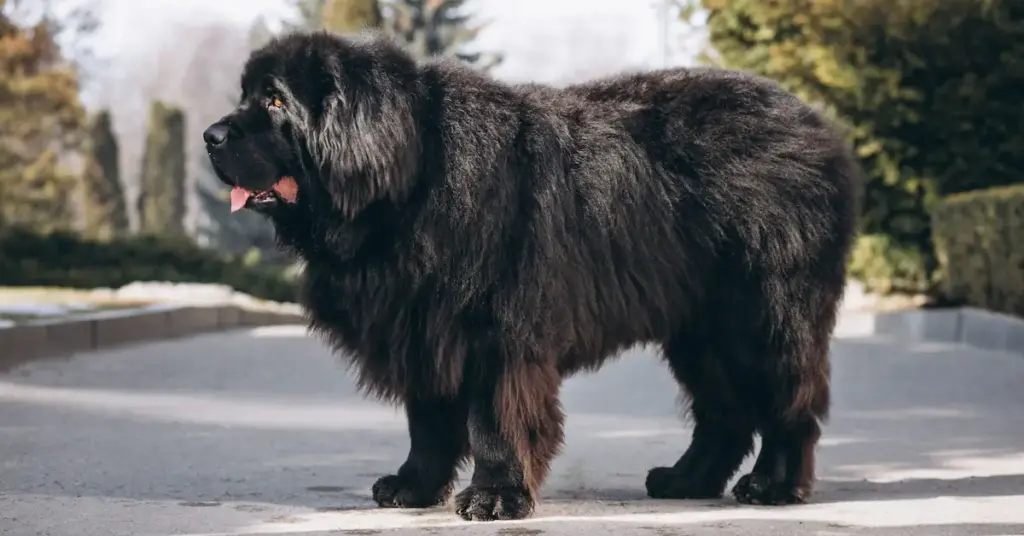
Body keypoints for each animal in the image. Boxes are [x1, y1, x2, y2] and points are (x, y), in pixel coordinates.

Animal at [199, 30, 856, 524]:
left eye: (276, 103)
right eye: (246, 95)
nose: (210, 135)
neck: (412, 180)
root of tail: (820, 129)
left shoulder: (493, 329)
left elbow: (492, 417)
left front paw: (495, 496)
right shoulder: (421, 325)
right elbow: (428, 422)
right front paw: (414, 486)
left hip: (762, 314)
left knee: (786, 400)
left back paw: (772, 486)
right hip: (699, 326)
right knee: (725, 410)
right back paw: (686, 479)